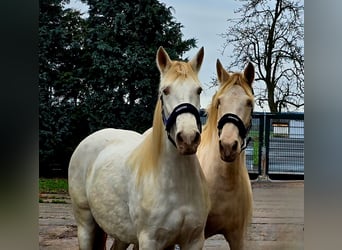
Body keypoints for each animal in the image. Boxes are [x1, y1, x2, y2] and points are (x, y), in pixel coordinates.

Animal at [68, 47, 210, 250]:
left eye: (199, 90)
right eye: (165, 91)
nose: (188, 138)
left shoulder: (193, 240)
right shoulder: (149, 240)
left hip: (121, 232)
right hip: (85, 224)